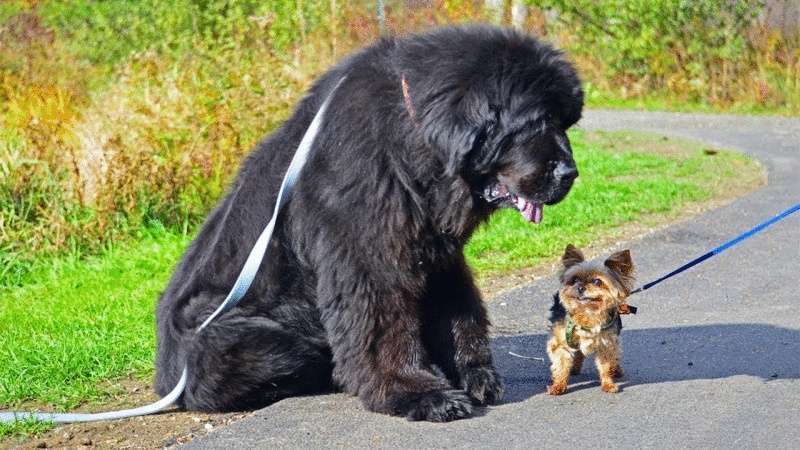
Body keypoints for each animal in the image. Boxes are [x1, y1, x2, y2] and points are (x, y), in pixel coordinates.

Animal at [155, 26, 580, 422]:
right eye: (540, 121)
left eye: (565, 122)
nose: (570, 173)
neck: (413, 142)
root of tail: (167, 377)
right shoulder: (368, 256)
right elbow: (381, 327)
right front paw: (419, 393)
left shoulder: (435, 252)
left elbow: (458, 310)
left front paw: (475, 376)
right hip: (233, 335)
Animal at [548, 244, 636, 396]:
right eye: (574, 280)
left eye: (597, 281)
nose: (580, 287)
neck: (587, 313)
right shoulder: (561, 343)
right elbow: (561, 365)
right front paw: (558, 386)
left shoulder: (606, 344)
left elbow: (606, 366)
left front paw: (608, 384)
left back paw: (616, 370)